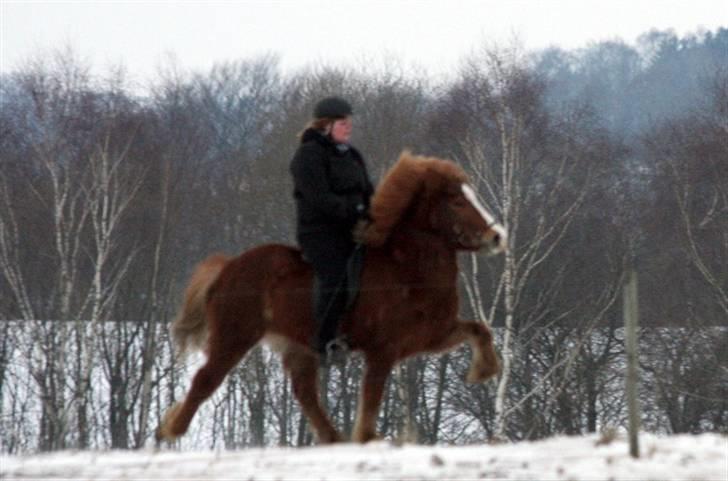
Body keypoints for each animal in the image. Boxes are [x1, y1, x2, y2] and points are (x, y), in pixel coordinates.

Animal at [155, 150, 506, 442]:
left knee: (304, 392)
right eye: (457, 201)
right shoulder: (383, 350)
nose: (497, 236)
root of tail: (228, 267)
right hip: (235, 336)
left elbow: (480, 329)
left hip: (297, 346)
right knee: (205, 379)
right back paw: (170, 430)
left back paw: (332, 437)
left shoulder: (431, 335)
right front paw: (367, 437)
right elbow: (372, 396)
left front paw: (483, 371)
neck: (407, 267)